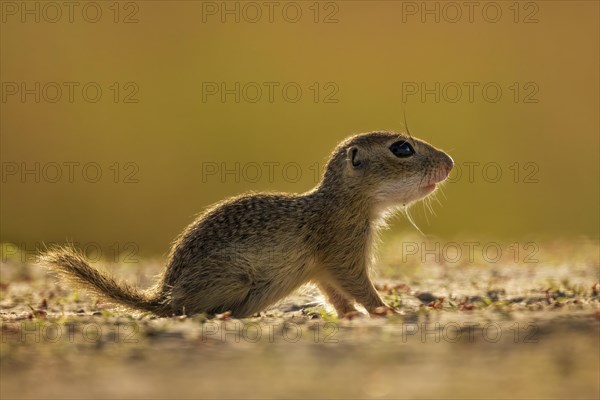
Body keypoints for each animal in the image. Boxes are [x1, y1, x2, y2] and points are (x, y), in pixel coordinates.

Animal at [43, 131, 454, 318]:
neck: (341, 201)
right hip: (235, 279)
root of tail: (162, 296)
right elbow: (359, 287)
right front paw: (391, 312)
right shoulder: (342, 252)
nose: (450, 163)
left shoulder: (322, 269)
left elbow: (336, 294)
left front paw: (351, 317)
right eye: (402, 148)